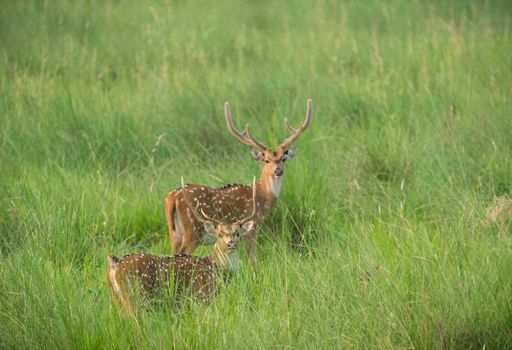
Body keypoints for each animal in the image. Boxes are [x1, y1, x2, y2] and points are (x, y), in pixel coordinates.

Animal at [106, 178, 256, 312]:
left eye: (237, 233)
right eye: (219, 234)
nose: (230, 244)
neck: (215, 268)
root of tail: (115, 263)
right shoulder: (202, 297)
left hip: (116, 297)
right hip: (134, 296)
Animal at [164, 98, 312, 266]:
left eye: (283, 158)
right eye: (266, 160)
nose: (278, 171)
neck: (262, 196)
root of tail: (173, 198)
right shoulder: (251, 227)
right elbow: (252, 260)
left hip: (174, 233)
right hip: (193, 231)